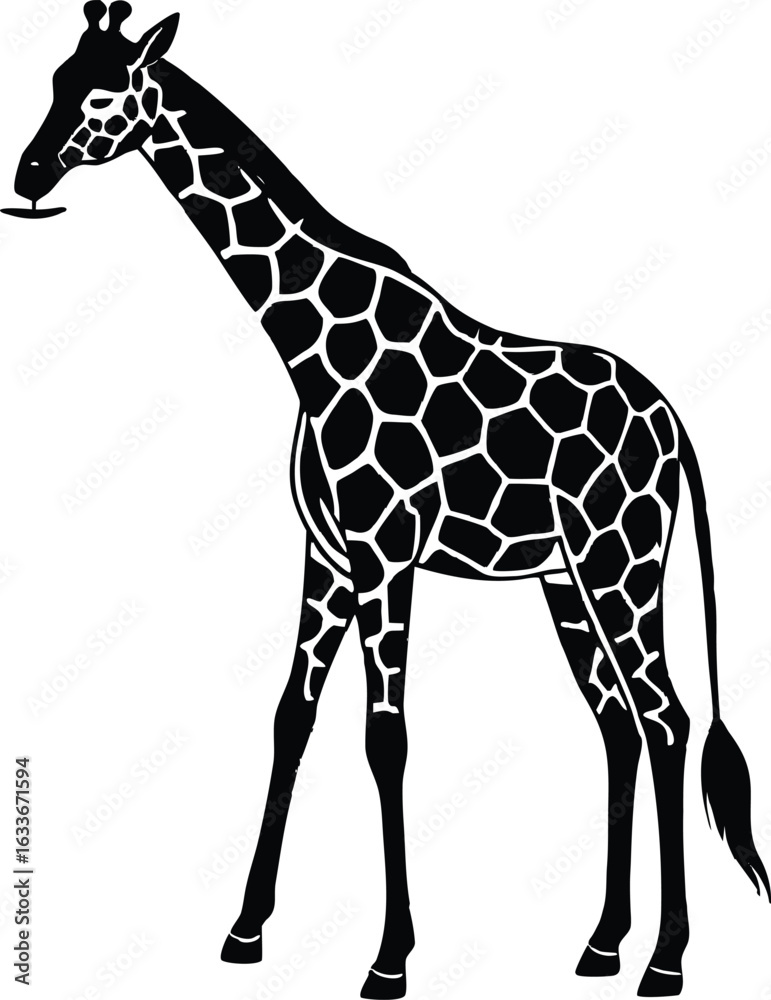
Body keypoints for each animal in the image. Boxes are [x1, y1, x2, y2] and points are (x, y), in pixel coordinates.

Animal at [9, 5, 770, 998]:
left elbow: (386, 739)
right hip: (564, 578)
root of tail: (672, 422)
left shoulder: (384, 556)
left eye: (102, 93)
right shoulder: (329, 558)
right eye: (55, 78)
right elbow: (290, 718)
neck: (311, 345)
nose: (26, 178)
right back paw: (601, 944)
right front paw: (245, 929)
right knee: (616, 722)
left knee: (666, 718)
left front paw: (389, 958)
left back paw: (666, 961)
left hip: (621, 562)